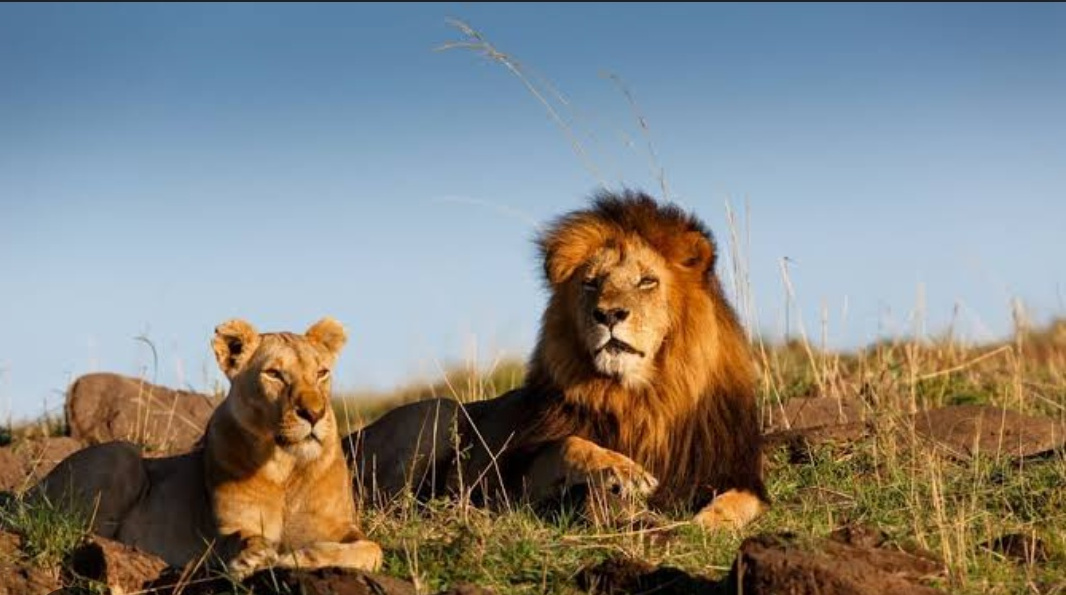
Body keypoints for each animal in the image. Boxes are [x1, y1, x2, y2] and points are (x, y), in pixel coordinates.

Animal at [30, 318, 382, 577]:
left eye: (322, 373)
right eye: (274, 374)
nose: (314, 413)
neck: (286, 466)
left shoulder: (341, 527)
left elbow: (372, 549)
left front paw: (301, 556)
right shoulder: (225, 529)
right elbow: (242, 538)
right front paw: (253, 558)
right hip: (121, 453)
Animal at [349, 190, 768, 530]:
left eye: (647, 281)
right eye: (591, 282)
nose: (608, 314)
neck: (641, 397)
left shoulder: (733, 470)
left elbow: (742, 501)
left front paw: (707, 523)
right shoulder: (517, 477)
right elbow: (571, 443)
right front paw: (624, 470)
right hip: (439, 411)